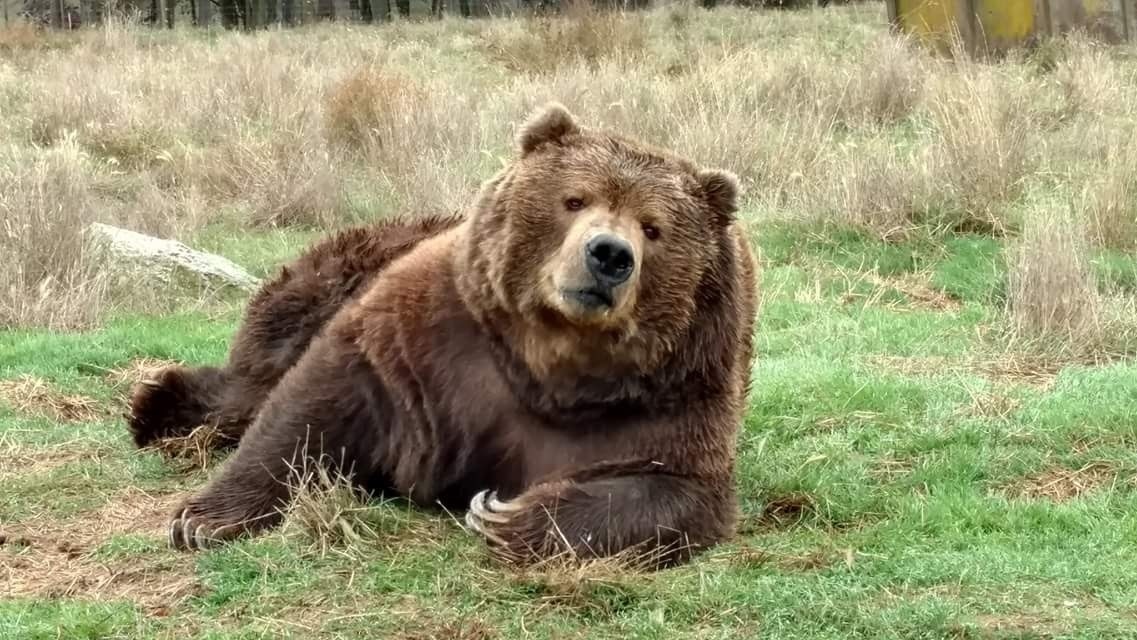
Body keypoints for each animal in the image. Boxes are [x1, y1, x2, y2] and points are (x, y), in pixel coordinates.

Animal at [126, 105, 754, 570]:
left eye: (654, 227)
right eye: (574, 199)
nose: (609, 256)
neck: (552, 363)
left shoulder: (673, 393)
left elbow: (675, 493)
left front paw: (503, 516)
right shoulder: (434, 334)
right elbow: (318, 400)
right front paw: (202, 519)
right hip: (321, 282)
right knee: (248, 388)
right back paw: (155, 404)